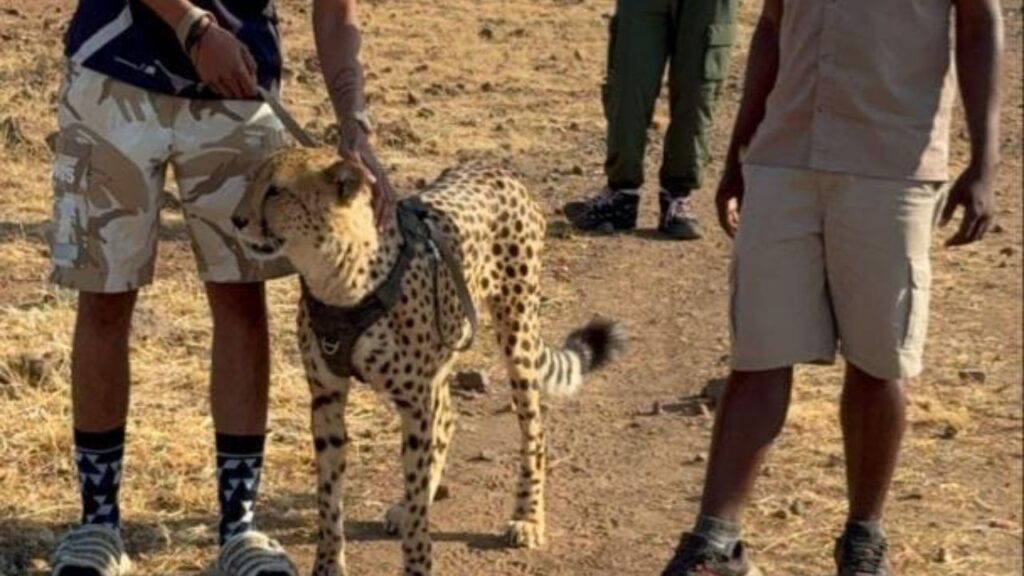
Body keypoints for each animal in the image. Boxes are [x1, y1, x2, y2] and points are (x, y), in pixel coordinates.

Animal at [233, 147, 623, 576]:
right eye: (252, 182)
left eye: (276, 191)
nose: (237, 219)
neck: (339, 279)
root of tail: (495, 168)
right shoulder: (327, 398)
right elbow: (329, 496)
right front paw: (329, 564)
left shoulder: (416, 399)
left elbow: (417, 491)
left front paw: (417, 560)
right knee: (448, 416)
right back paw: (410, 507)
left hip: (516, 333)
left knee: (533, 432)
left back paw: (527, 517)